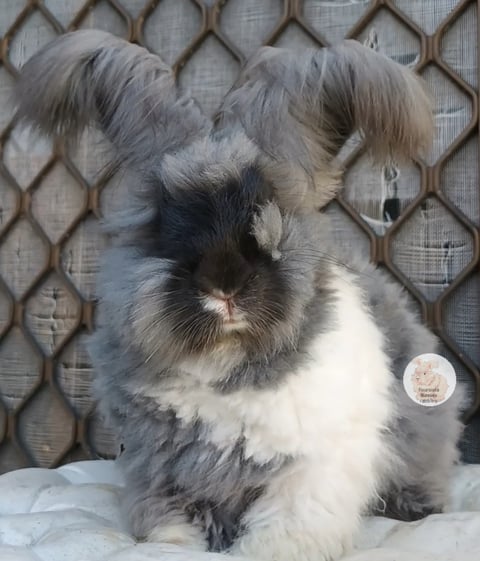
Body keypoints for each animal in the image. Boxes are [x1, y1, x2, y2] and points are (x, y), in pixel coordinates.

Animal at [15, 29, 464, 560]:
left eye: (267, 205)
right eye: (163, 222)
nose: (223, 284)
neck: (223, 360)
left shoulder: (308, 472)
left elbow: (288, 523)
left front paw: (270, 551)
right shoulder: (163, 472)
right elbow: (170, 520)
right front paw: (176, 544)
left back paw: (413, 506)